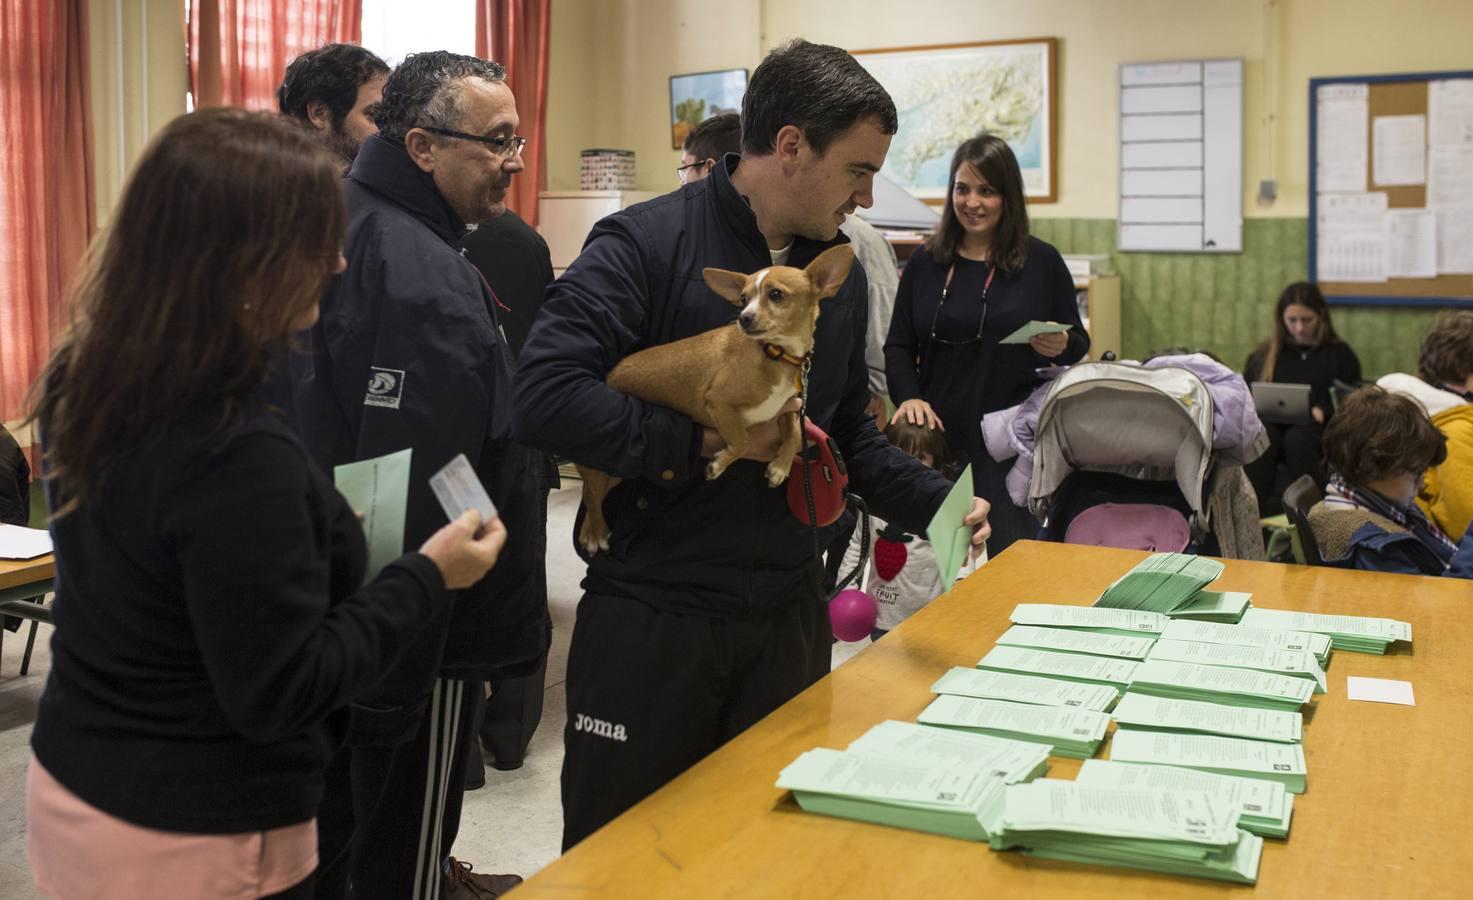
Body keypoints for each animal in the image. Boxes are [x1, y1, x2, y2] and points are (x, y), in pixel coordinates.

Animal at [574, 245, 854, 556]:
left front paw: (780, 468)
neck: (776, 354)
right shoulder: (719, 402)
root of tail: (607, 376)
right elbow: (743, 441)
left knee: (593, 491)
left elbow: (793, 436)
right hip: (601, 463)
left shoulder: (788, 409)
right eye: (743, 299)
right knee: (591, 494)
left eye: (776, 294)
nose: (743, 317)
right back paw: (596, 533)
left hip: (618, 471)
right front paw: (718, 465)